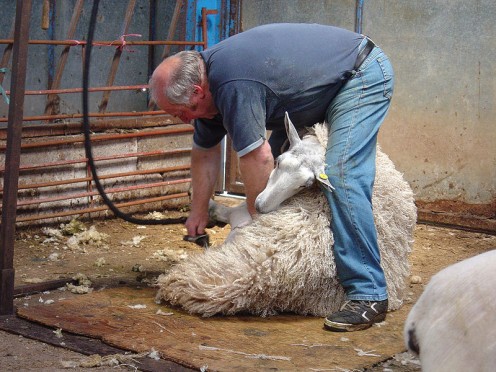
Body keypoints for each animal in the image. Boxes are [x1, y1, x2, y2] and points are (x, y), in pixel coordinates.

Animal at [156, 114, 418, 316]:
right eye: (278, 161)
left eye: (306, 184)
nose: (261, 207)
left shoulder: (240, 215)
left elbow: (223, 210)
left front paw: (203, 207)